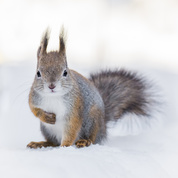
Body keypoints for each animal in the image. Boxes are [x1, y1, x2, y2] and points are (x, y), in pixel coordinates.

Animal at [27, 27, 158, 149]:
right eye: (38, 73)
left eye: (65, 72)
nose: (51, 85)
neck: (53, 96)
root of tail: (103, 128)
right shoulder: (34, 97)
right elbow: (33, 109)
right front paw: (46, 116)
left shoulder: (75, 108)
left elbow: (72, 128)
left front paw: (65, 146)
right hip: (46, 129)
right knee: (53, 142)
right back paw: (40, 143)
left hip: (93, 121)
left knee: (92, 138)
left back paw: (84, 141)